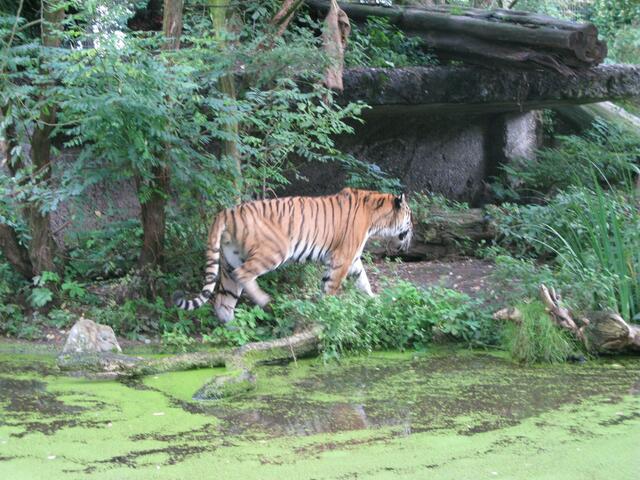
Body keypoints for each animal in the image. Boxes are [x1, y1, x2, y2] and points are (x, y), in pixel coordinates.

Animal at [173, 188, 413, 323]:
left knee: (223, 300)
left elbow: (362, 281)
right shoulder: (343, 257)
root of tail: (226, 212)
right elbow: (333, 286)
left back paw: (233, 327)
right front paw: (328, 310)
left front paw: (375, 301)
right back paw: (265, 300)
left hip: (229, 260)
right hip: (273, 251)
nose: (412, 231)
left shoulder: (351, 259)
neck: (376, 217)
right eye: (410, 216)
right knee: (242, 275)